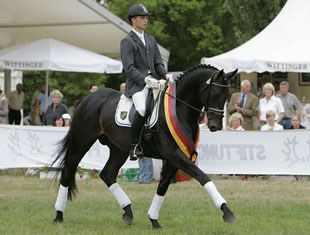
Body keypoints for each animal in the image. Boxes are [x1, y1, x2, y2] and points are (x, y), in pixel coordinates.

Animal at [52, 63, 237, 229]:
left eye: (227, 95)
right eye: (215, 94)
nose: (215, 126)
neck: (179, 108)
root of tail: (87, 98)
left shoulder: (174, 159)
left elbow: (162, 187)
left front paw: (154, 220)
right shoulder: (175, 155)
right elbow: (203, 177)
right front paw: (227, 212)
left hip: (119, 149)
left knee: (107, 174)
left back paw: (128, 212)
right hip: (81, 141)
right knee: (68, 171)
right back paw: (58, 216)